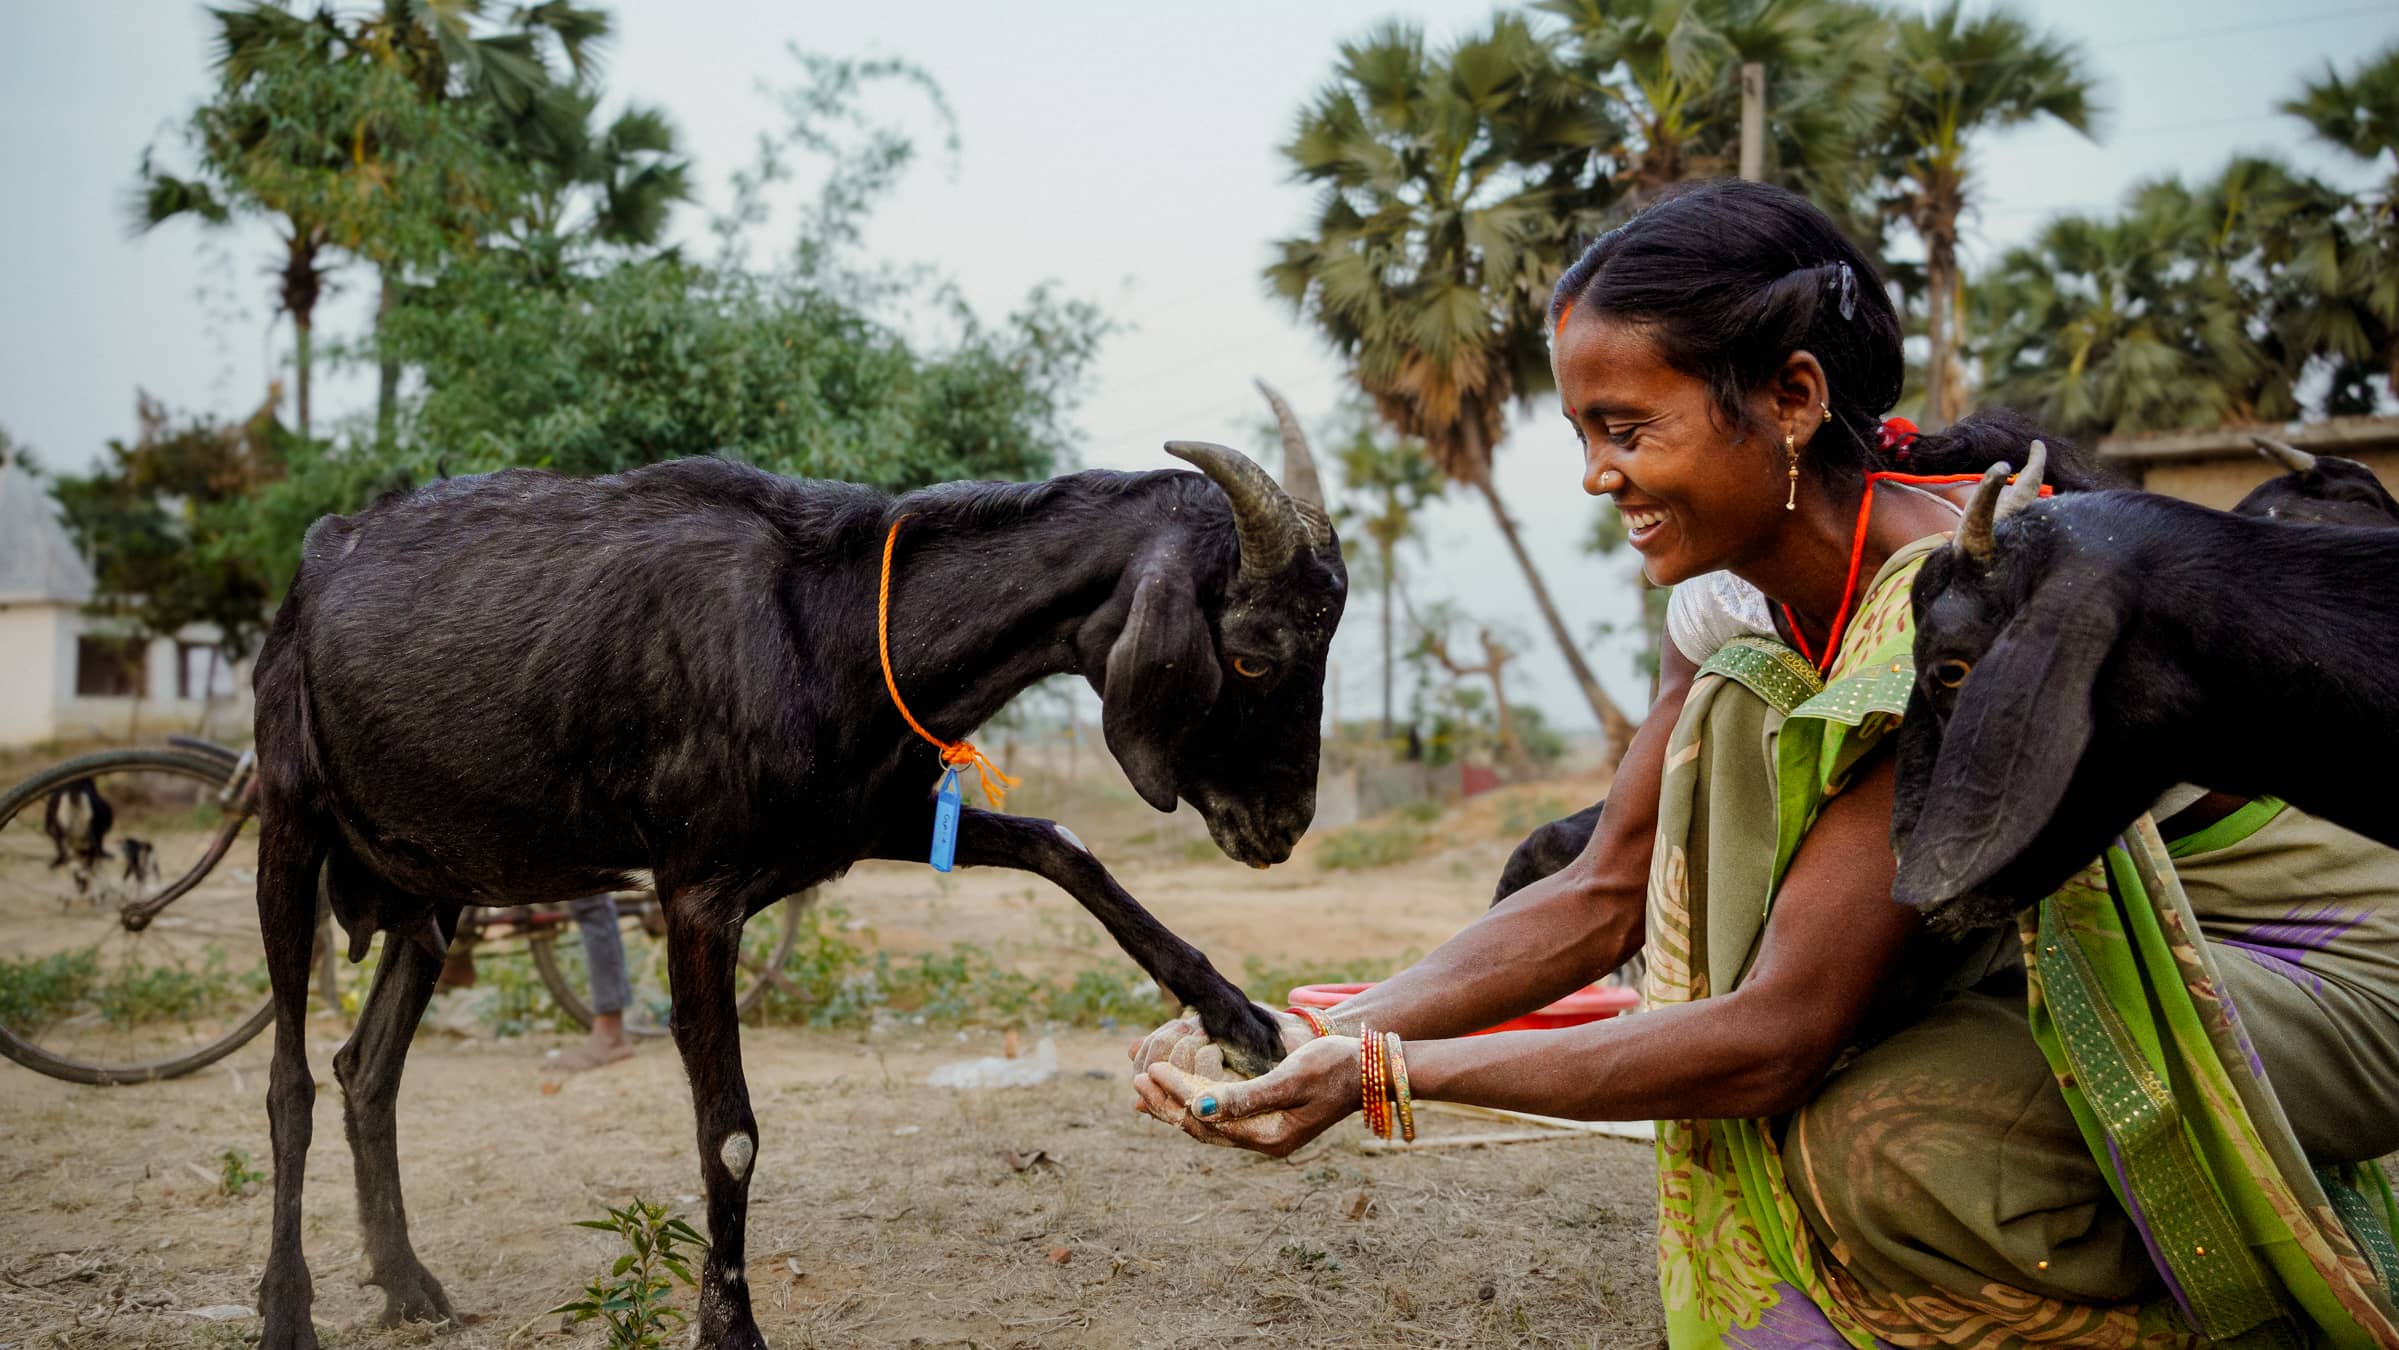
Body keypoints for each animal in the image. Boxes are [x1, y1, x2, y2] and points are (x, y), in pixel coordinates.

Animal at [245, 435, 1345, 1349]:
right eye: (1251, 655)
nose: (1284, 823)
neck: (833, 621)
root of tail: (311, 571)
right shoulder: (696, 892)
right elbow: (728, 1135)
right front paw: (728, 1328)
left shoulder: (862, 820)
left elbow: (1063, 847)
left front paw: (1237, 1017)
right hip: (289, 829)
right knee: (290, 1082)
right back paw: (286, 1311)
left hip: (431, 887)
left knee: (366, 1070)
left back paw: (407, 1283)